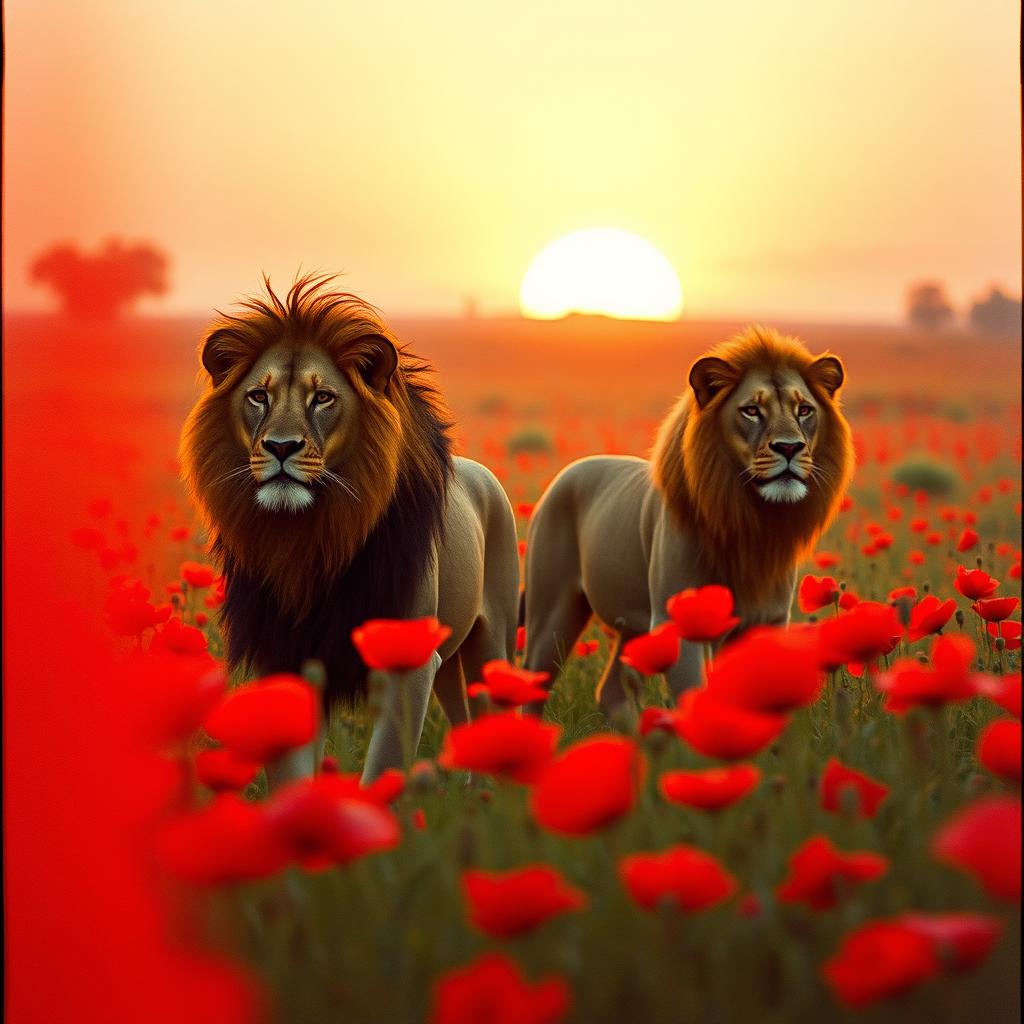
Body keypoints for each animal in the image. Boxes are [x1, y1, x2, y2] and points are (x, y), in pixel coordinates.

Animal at [180, 273, 519, 782]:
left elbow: (384, 768)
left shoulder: (407, 662)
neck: (310, 538)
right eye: (258, 396)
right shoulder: (286, 658)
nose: (281, 447)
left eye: (323, 398)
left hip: (491, 642)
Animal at [522, 325, 854, 714]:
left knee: (612, 690)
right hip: (553, 612)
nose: (789, 447)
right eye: (751, 410)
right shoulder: (677, 623)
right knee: (534, 681)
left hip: (633, 628)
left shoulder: (766, 621)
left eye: (804, 410)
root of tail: (570, 470)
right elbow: (692, 696)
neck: (752, 520)